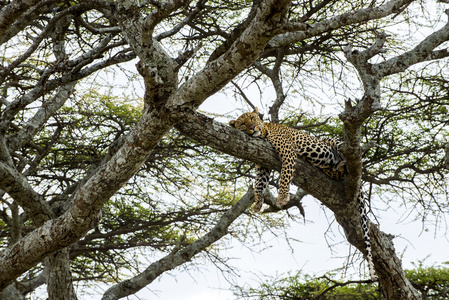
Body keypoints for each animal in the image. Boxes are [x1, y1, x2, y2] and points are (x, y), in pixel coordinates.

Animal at [229, 107, 376, 282]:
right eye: (243, 124)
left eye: (252, 118)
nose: (252, 128)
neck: (264, 132)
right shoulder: (262, 164)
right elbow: (259, 184)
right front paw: (258, 202)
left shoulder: (287, 151)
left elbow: (285, 175)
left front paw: (282, 197)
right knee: (335, 171)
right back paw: (338, 167)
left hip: (332, 141)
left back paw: (344, 162)